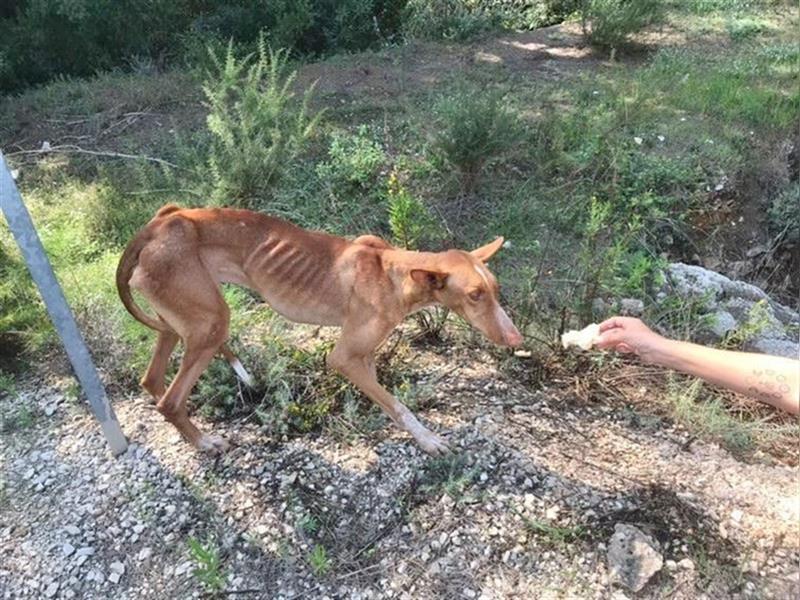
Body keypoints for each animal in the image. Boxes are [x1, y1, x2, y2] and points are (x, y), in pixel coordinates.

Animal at [115, 206, 520, 454]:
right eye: (474, 295)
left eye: (496, 290)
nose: (515, 338)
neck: (392, 273)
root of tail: (159, 222)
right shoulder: (343, 358)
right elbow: (399, 404)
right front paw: (428, 439)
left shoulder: (364, 355)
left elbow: (384, 400)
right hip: (211, 325)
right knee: (170, 401)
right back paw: (204, 443)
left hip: (179, 324)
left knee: (152, 381)